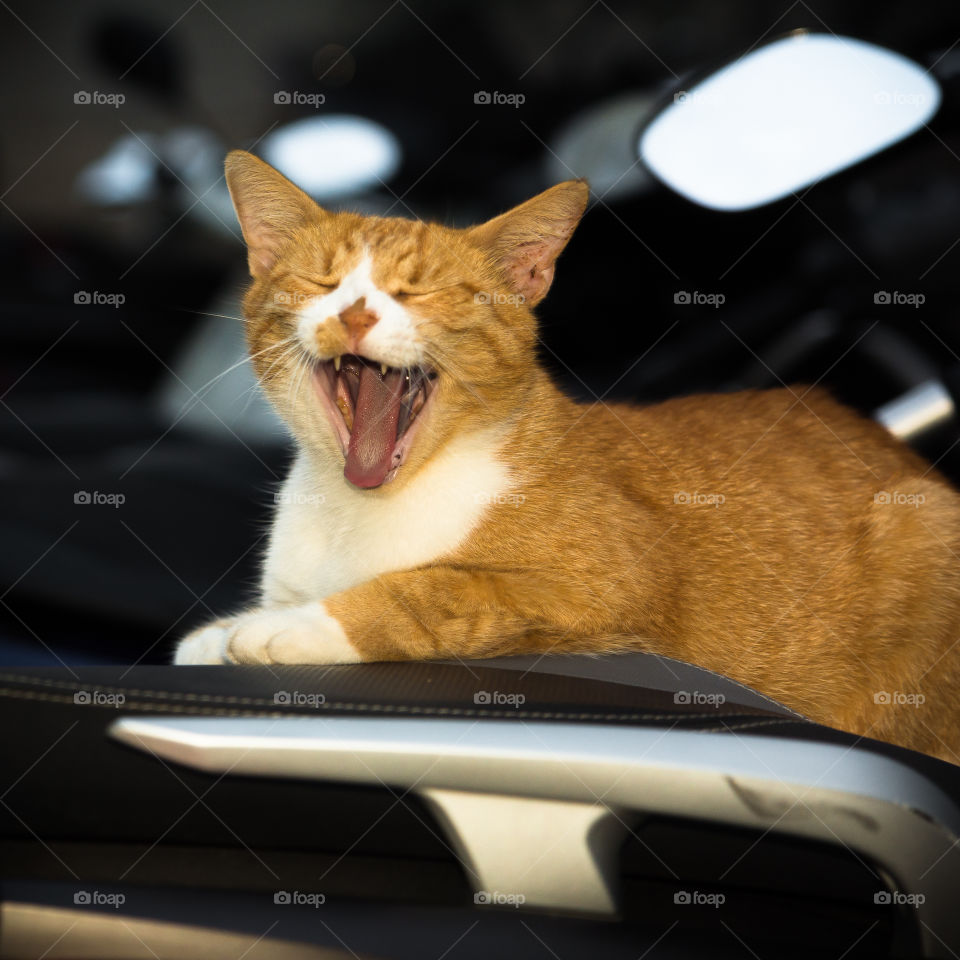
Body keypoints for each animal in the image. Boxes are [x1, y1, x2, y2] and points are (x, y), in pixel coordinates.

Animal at [176, 150, 960, 764]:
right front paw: (217, 635)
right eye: (321, 282)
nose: (356, 313)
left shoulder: (605, 588)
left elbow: (433, 589)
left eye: (418, 291)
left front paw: (291, 627)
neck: (358, 508)